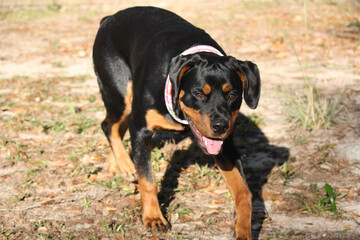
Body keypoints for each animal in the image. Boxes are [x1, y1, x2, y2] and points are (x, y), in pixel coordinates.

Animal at [93, 6, 260, 240]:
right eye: (198, 93)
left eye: (232, 95)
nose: (220, 126)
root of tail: (108, 19)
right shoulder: (141, 129)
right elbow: (148, 181)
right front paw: (154, 218)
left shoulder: (225, 145)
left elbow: (244, 191)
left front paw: (243, 230)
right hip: (120, 94)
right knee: (109, 125)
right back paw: (126, 164)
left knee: (114, 127)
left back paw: (117, 163)